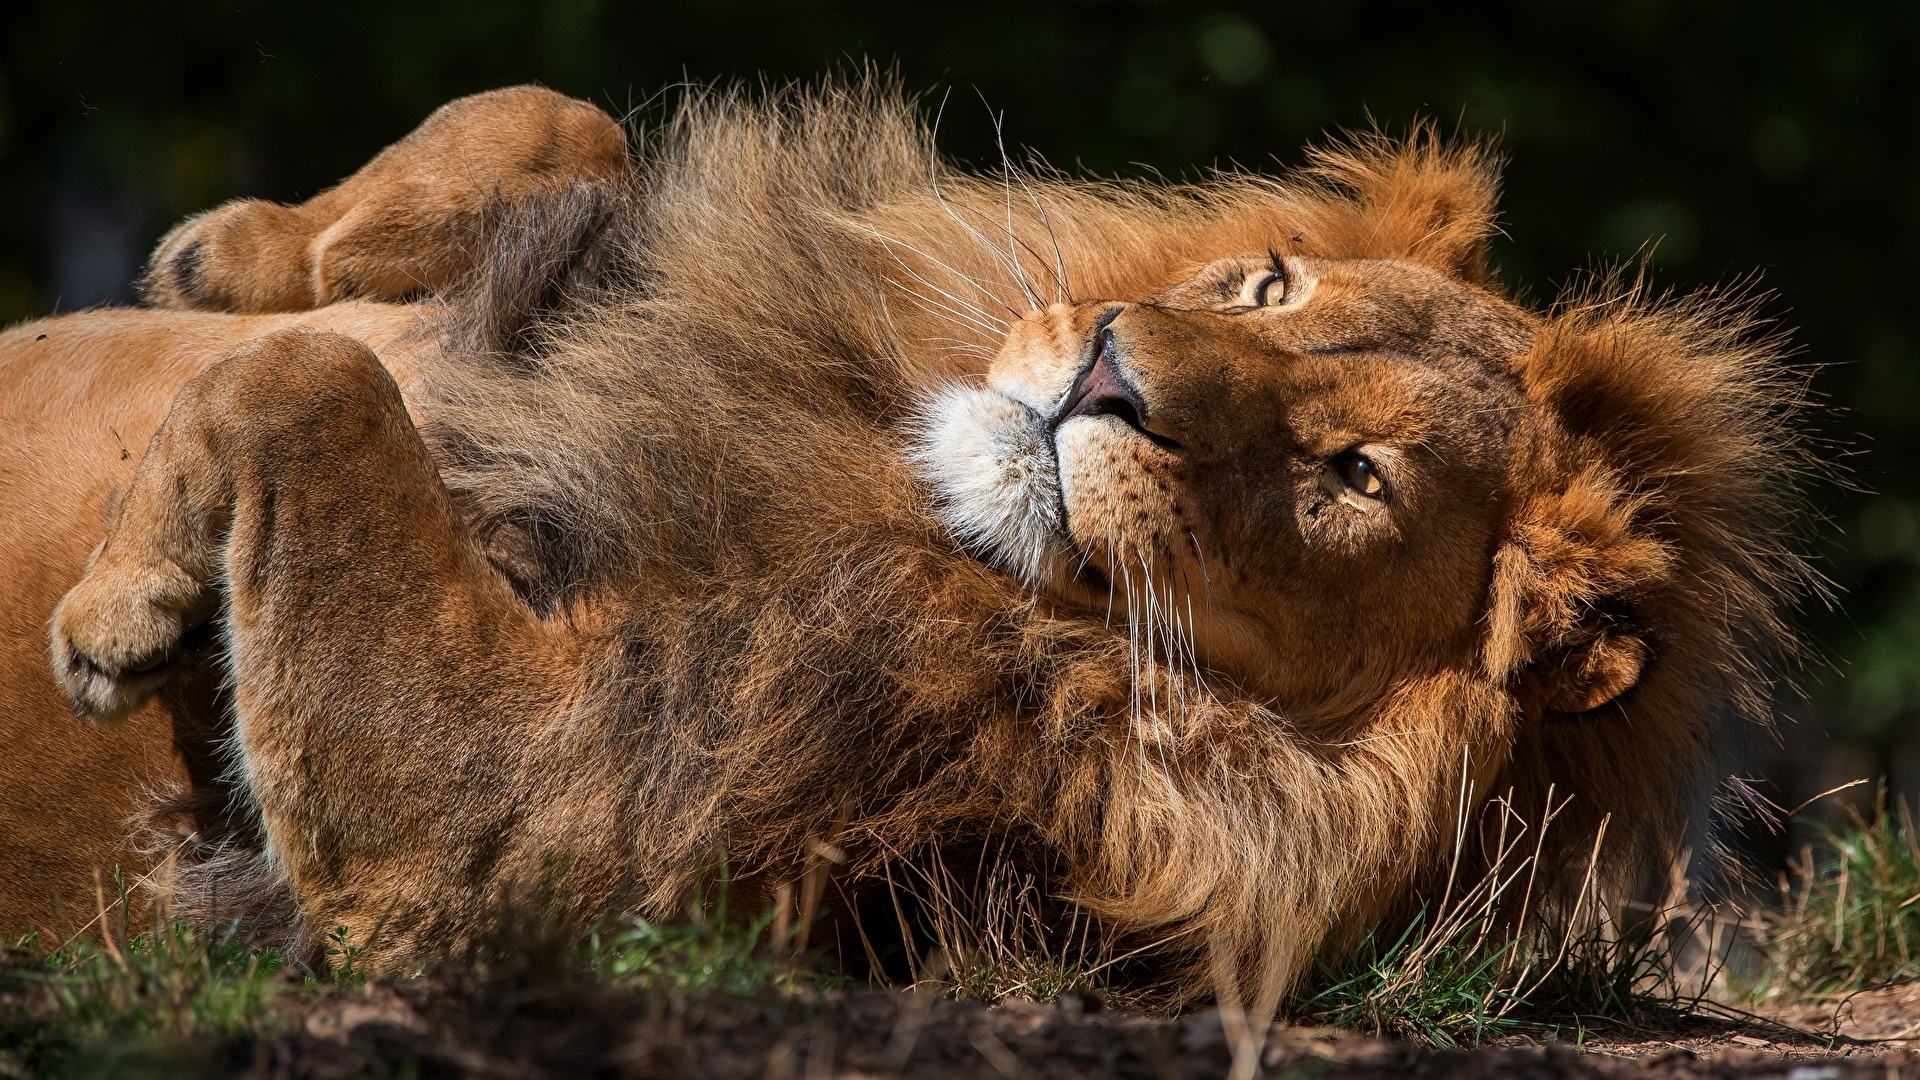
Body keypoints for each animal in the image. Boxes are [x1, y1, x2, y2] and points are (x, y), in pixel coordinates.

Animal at [0, 82, 1804, 999]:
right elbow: (552, 119)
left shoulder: (508, 838)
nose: (1108, 372)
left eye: (1353, 476)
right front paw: (238, 251)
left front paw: (119, 607)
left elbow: (314, 381)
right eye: (1270, 285)